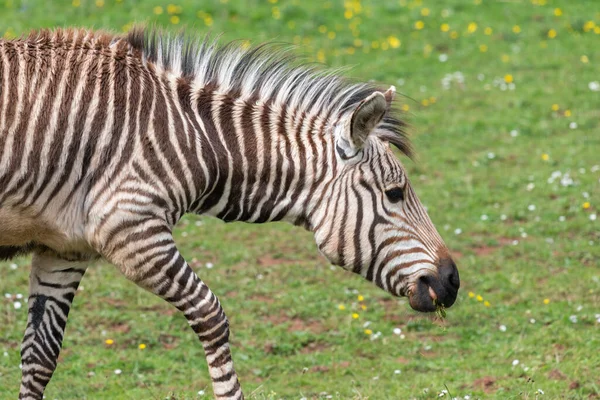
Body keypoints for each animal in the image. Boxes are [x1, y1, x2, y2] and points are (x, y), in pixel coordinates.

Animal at [0, 26, 460, 398]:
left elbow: (40, 355)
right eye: (395, 194)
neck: (192, 138)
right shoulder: (131, 228)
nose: (453, 282)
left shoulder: (64, 248)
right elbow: (212, 316)